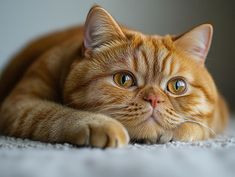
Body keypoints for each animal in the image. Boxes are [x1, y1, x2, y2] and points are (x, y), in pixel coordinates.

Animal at [0, 5, 228, 147]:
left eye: (177, 86)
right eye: (124, 80)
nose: (154, 99)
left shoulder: (217, 117)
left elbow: (198, 126)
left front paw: (175, 131)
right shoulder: (19, 104)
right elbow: (55, 113)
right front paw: (102, 124)